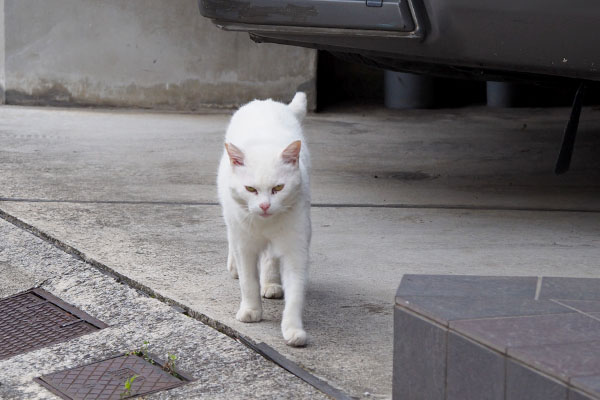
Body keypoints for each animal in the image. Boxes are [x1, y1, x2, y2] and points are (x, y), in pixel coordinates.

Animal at [216, 92, 312, 346]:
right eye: (250, 189)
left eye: (278, 188)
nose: (265, 205)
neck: (265, 223)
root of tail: (266, 102)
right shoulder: (245, 246)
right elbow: (248, 282)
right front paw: (251, 311)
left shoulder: (295, 248)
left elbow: (295, 293)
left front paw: (293, 330)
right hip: (231, 221)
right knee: (232, 240)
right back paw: (234, 268)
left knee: (270, 258)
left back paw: (271, 284)